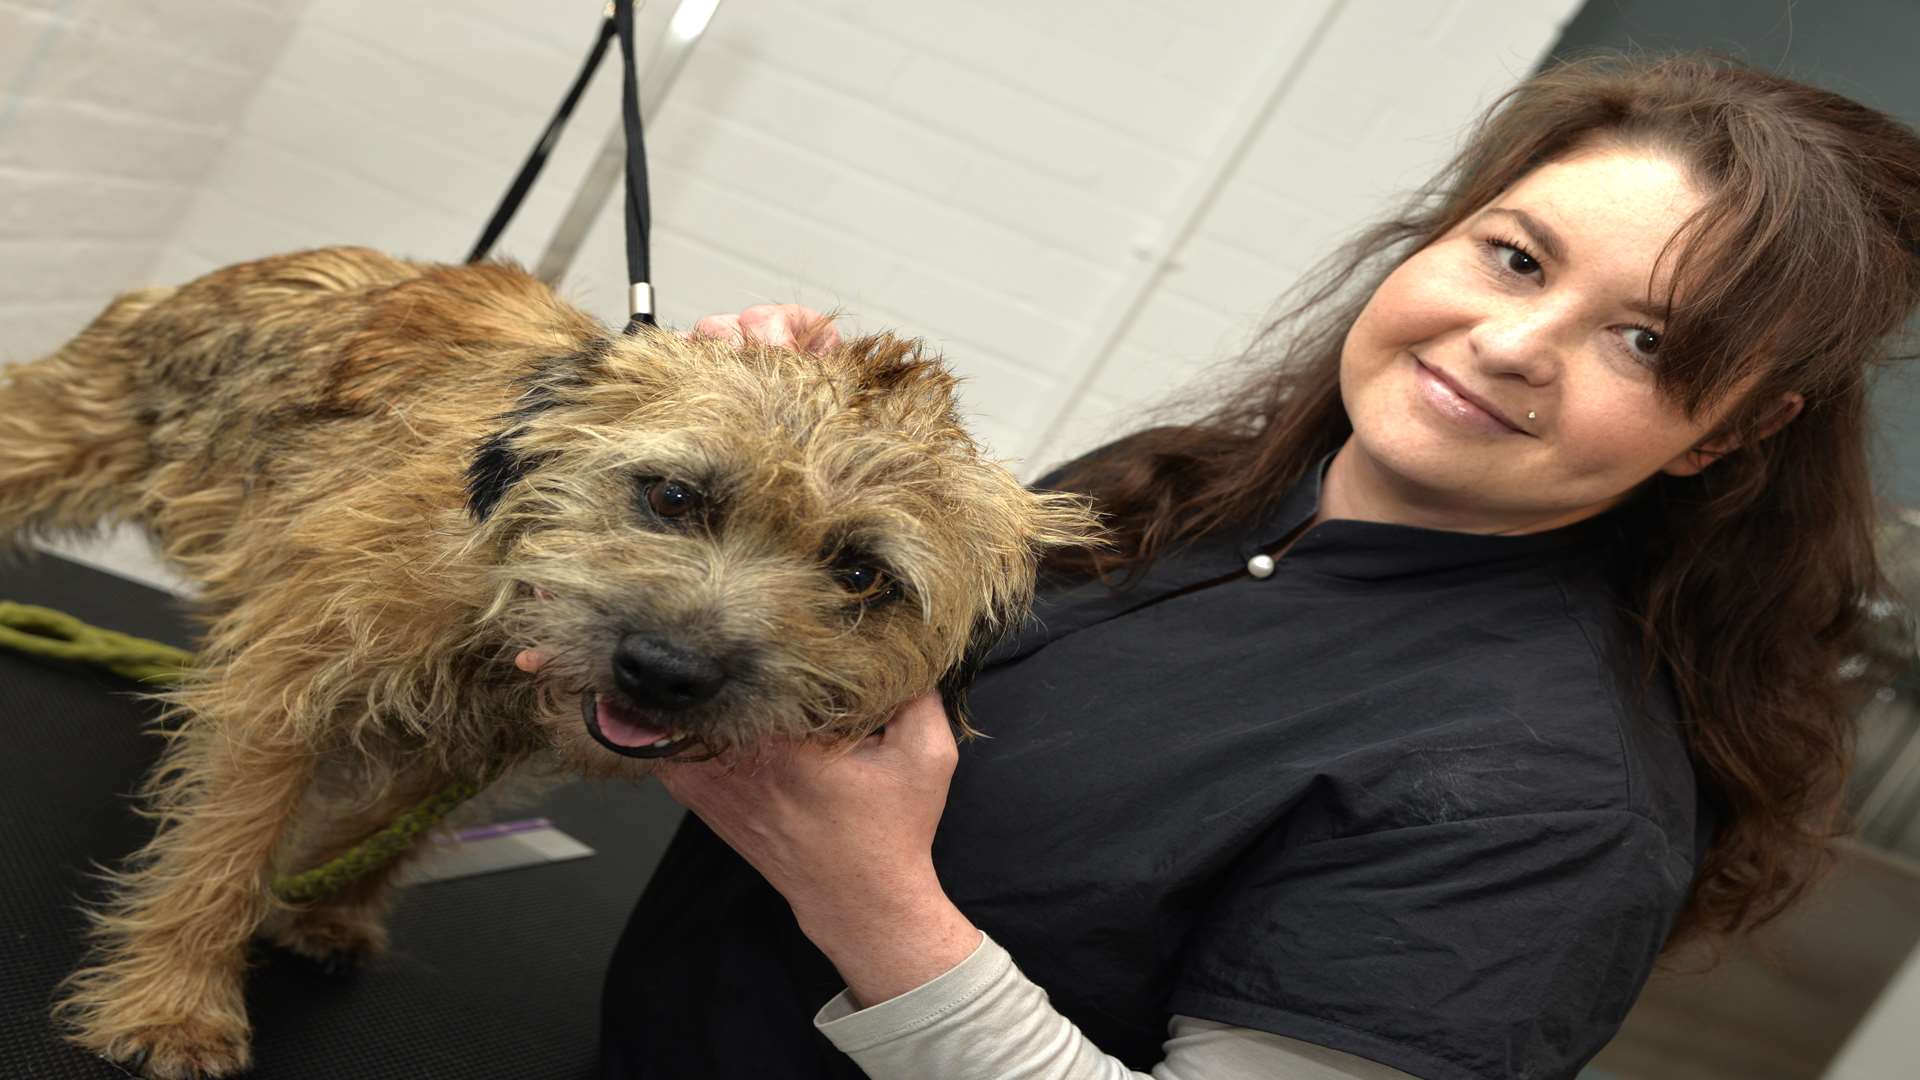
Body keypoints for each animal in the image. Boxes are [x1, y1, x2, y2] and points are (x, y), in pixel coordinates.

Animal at [3, 247, 1098, 1068]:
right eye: (672, 496)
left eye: (863, 575)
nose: (665, 669)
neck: (501, 572)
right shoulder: (293, 684)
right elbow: (226, 854)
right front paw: (176, 1003)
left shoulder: (485, 734)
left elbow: (391, 824)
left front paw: (325, 902)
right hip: (74, 431)